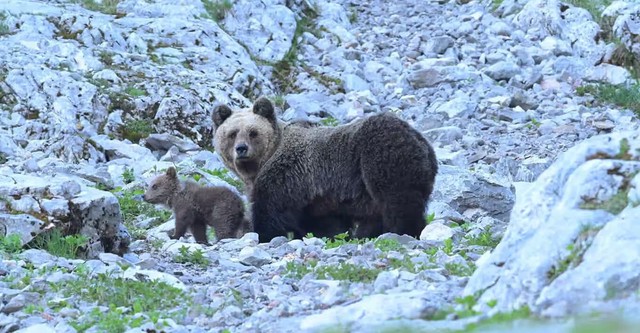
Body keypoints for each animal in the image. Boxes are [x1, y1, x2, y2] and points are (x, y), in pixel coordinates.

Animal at [212, 96, 438, 241]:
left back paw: (401, 232)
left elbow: (270, 212)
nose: (241, 149)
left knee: (397, 200)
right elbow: (326, 224)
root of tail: (421, 140)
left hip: (380, 155)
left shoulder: (284, 178)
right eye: (232, 133)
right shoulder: (318, 198)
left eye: (253, 132)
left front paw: (264, 235)